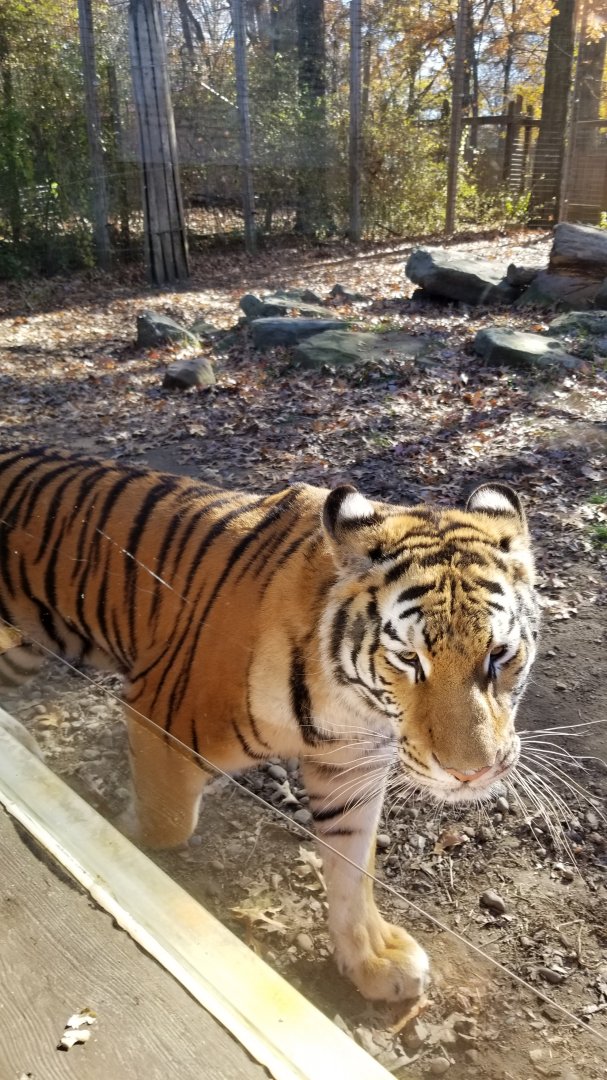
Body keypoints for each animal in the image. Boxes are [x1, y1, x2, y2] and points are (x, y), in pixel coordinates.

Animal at [0, 447, 539, 1002]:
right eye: (409, 659)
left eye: (499, 653)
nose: (471, 773)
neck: (353, 705)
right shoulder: (159, 723)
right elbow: (164, 826)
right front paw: (120, 836)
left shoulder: (351, 768)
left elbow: (352, 870)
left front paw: (372, 962)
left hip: (22, 649)